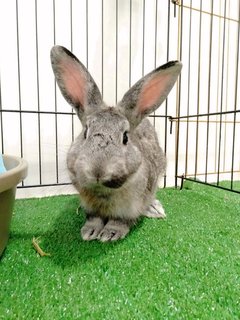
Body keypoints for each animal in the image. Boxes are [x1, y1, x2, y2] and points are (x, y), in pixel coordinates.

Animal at [50, 43, 182, 241]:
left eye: (125, 137)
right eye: (85, 132)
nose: (98, 170)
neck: (104, 191)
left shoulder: (131, 207)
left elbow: (120, 221)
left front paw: (110, 234)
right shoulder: (90, 206)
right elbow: (94, 218)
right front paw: (90, 231)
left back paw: (154, 209)